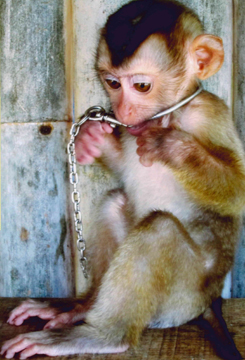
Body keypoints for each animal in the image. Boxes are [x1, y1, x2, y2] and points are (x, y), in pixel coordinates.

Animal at [1, 0, 245, 358]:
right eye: (113, 83)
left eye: (141, 86)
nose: (122, 111)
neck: (170, 112)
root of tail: (208, 303)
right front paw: (91, 138)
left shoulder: (208, 114)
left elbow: (238, 193)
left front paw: (170, 145)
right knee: (115, 202)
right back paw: (82, 309)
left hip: (183, 298)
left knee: (160, 228)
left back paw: (102, 335)